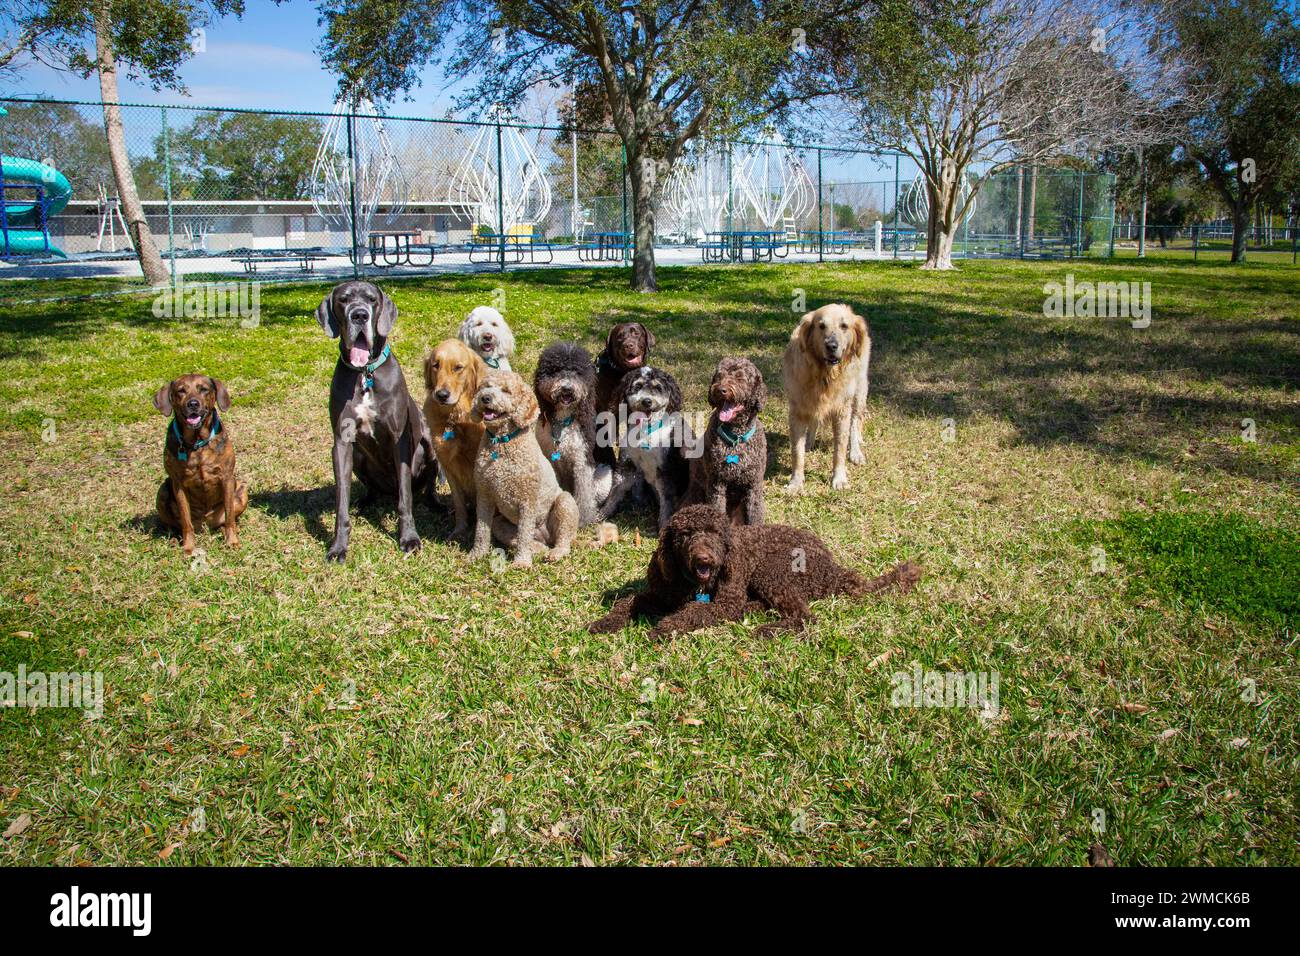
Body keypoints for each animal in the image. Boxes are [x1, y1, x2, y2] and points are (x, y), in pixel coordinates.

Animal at [153, 371, 246, 554]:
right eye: (181, 391)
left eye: (203, 389)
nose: (193, 404)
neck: (197, 444)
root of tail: (205, 524)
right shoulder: (178, 484)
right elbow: (185, 521)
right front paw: (189, 547)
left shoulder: (227, 478)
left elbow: (230, 516)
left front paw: (232, 541)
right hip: (163, 491)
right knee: (174, 525)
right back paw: (174, 539)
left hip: (241, 490)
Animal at [426, 340, 488, 541]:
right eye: (435, 365)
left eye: (458, 367)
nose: (441, 395)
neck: (454, 420)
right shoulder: (448, 466)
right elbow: (459, 503)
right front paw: (459, 531)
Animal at [530, 343, 611, 528]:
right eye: (556, 370)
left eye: (577, 372)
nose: (567, 388)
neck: (562, 422)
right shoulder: (549, 458)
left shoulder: (582, 461)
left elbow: (584, 494)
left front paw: (582, 518)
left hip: (603, 476)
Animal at [592, 504, 925, 639]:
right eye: (685, 535)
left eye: (715, 533)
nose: (705, 557)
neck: (692, 586)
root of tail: (833, 568)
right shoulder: (660, 592)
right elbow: (629, 601)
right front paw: (606, 621)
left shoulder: (725, 600)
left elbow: (696, 611)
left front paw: (667, 626)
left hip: (771, 570)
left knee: (805, 616)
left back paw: (768, 629)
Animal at [600, 364, 696, 530]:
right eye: (637, 386)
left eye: (658, 388)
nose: (647, 401)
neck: (646, 431)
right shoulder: (627, 465)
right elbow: (615, 491)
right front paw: (604, 513)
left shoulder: (666, 470)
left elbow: (667, 502)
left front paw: (664, 525)